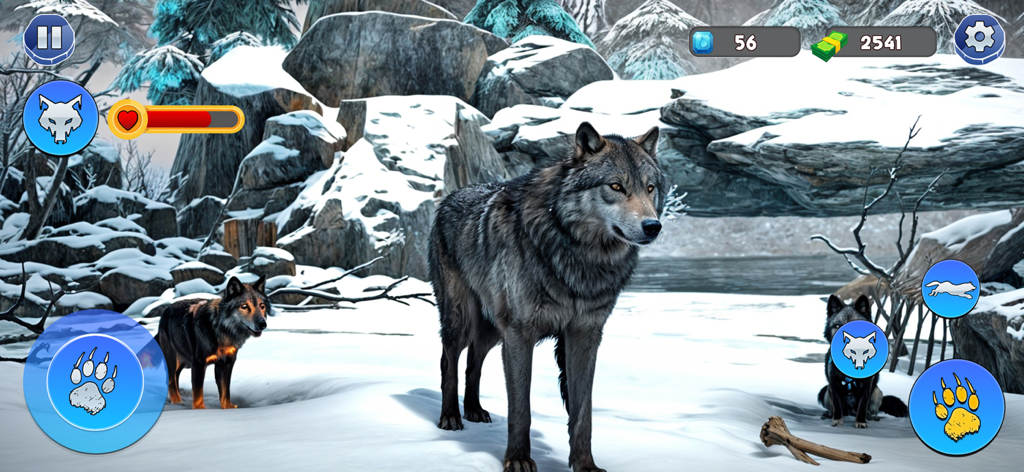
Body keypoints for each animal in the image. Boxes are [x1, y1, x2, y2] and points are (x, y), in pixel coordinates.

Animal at [156, 276, 269, 410]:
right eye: (245, 306)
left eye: (262, 306)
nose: (263, 324)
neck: (220, 329)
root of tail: (165, 310)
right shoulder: (199, 364)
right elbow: (198, 393)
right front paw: (200, 410)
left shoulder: (226, 364)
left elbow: (225, 392)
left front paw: (227, 408)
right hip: (173, 361)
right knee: (171, 381)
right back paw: (178, 402)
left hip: (183, 362)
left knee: (175, 378)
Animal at [430, 121, 666, 472]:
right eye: (616, 186)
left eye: (649, 188)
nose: (653, 226)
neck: (580, 259)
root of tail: (451, 196)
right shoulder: (519, 333)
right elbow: (520, 409)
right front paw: (518, 460)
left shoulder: (584, 335)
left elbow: (583, 412)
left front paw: (585, 465)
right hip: (463, 319)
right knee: (449, 362)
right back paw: (450, 417)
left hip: (491, 330)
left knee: (474, 362)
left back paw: (473, 410)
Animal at [817, 294, 908, 428]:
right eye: (838, 326)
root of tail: (850, 412)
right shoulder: (834, 385)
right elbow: (837, 407)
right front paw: (837, 422)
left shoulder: (866, 387)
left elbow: (862, 407)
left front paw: (860, 422)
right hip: (826, 392)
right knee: (835, 408)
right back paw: (829, 414)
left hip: (877, 392)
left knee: (870, 410)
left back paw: (871, 416)